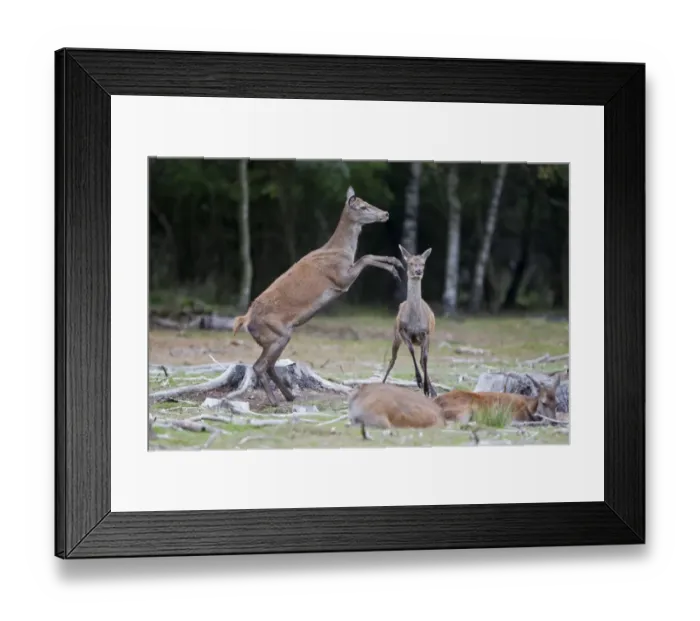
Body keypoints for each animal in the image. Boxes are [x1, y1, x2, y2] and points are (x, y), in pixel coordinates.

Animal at [232, 186, 405, 406]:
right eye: (363, 206)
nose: (385, 214)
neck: (340, 251)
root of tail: (245, 320)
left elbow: (367, 256)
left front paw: (396, 264)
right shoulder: (341, 278)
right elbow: (365, 257)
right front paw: (395, 269)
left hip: (276, 337)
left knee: (268, 365)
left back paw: (289, 396)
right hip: (277, 333)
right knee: (260, 365)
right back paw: (275, 401)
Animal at [381, 245, 437, 397]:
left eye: (423, 263)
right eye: (411, 263)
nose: (418, 271)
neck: (414, 322)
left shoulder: (426, 333)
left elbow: (424, 358)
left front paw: (426, 388)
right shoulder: (402, 331)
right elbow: (411, 350)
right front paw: (418, 381)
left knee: (422, 359)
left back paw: (432, 391)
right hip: (395, 335)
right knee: (392, 359)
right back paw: (382, 382)